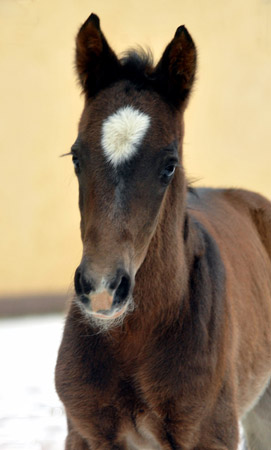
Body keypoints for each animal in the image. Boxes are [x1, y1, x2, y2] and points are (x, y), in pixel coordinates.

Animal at [55, 14, 271, 450]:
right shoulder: (84, 433)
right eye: (76, 157)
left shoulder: (211, 434)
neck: (132, 340)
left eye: (169, 165)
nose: (102, 290)